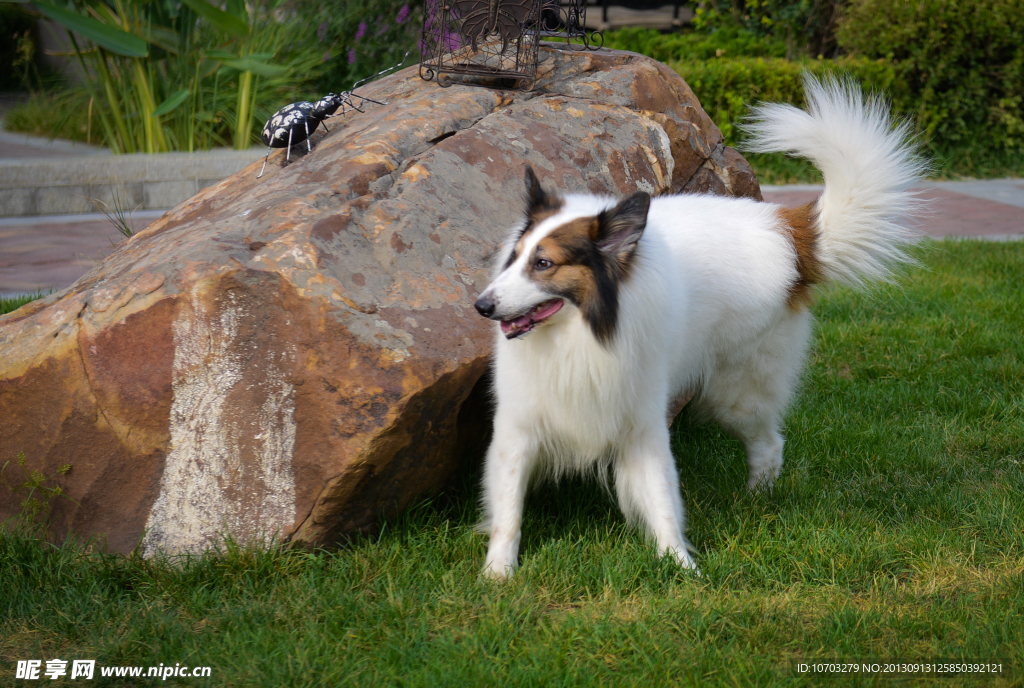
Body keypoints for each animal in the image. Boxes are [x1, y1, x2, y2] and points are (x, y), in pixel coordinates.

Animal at [475, 76, 925, 581]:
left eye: (544, 264)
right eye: (514, 259)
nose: (482, 306)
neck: (584, 335)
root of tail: (785, 229)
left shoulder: (644, 422)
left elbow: (662, 497)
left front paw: (681, 566)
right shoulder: (518, 427)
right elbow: (509, 510)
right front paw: (498, 574)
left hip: (734, 392)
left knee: (770, 443)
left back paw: (756, 500)